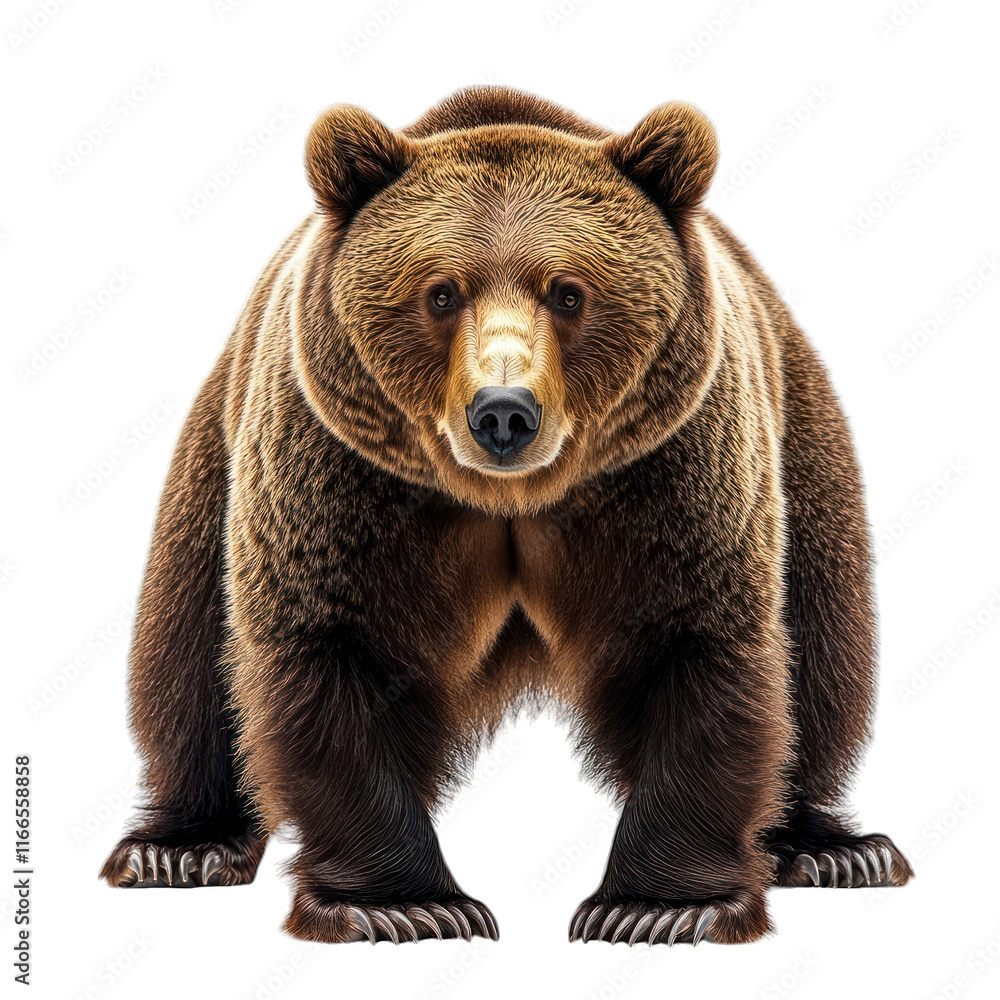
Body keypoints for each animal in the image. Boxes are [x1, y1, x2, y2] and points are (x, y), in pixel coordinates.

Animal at [100, 85, 913, 946]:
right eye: (440, 292)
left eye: (569, 291)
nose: (502, 412)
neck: (510, 502)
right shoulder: (342, 474)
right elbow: (331, 648)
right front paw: (404, 904)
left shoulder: (670, 474)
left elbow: (697, 644)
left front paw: (655, 907)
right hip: (214, 462)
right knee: (184, 648)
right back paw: (182, 846)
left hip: (804, 450)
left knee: (828, 649)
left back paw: (831, 849)